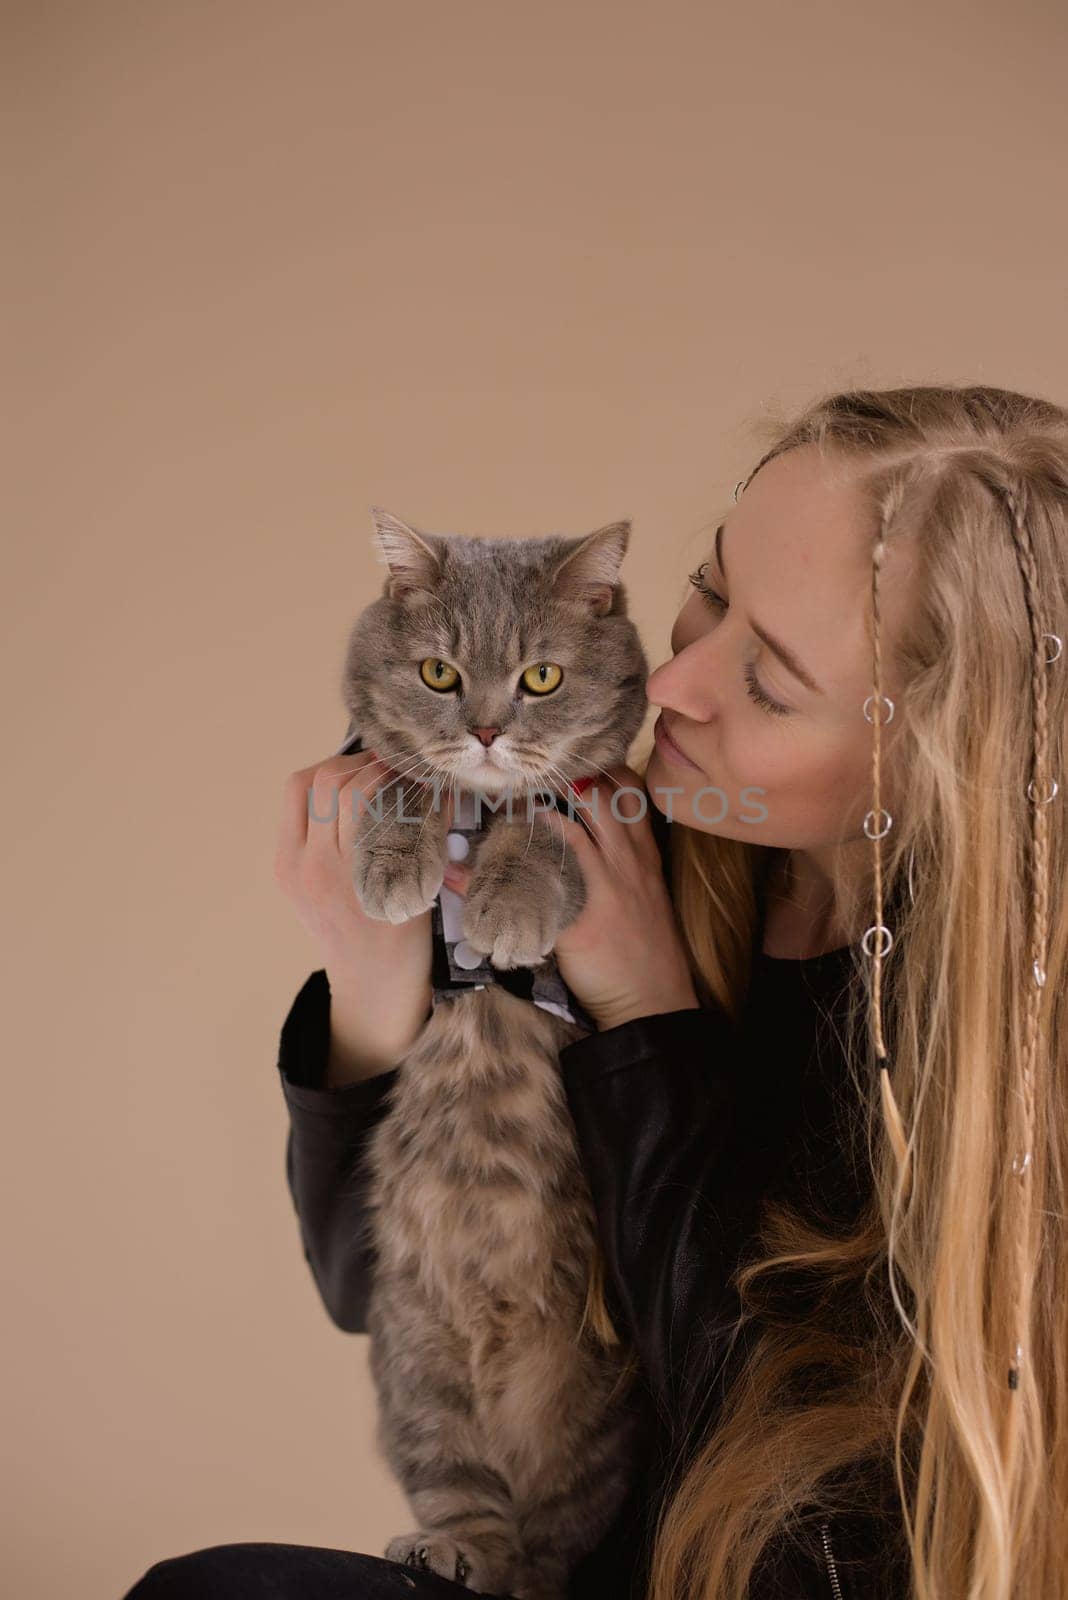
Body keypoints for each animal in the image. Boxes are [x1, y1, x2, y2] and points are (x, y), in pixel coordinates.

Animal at [342, 512, 645, 1600]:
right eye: (440, 672)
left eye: (541, 678)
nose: (480, 729)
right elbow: (397, 780)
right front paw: (397, 861)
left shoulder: (604, 812)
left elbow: (543, 822)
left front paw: (508, 902)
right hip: (418, 1376)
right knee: (472, 1499)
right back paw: (453, 1549)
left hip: (591, 1407)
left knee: (553, 1541)